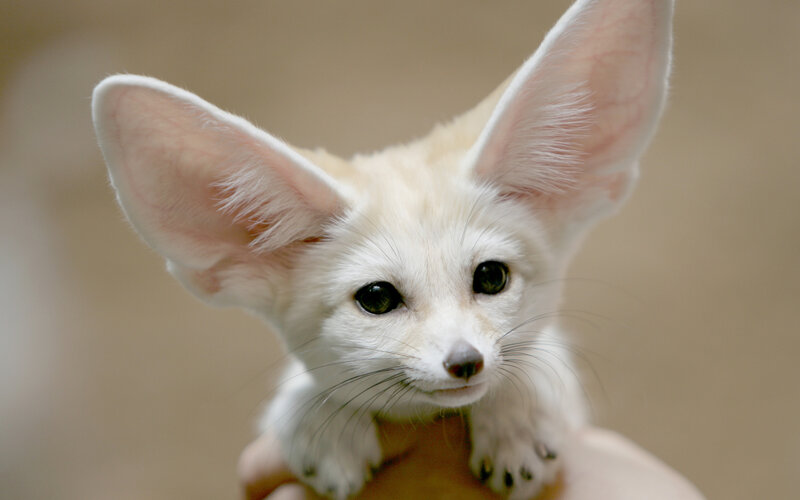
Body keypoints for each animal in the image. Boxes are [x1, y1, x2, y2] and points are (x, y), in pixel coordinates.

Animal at [92, 0, 673, 498]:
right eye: (376, 298)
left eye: (491, 277)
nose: (466, 362)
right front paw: (319, 419)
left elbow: (537, 358)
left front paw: (515, 416)